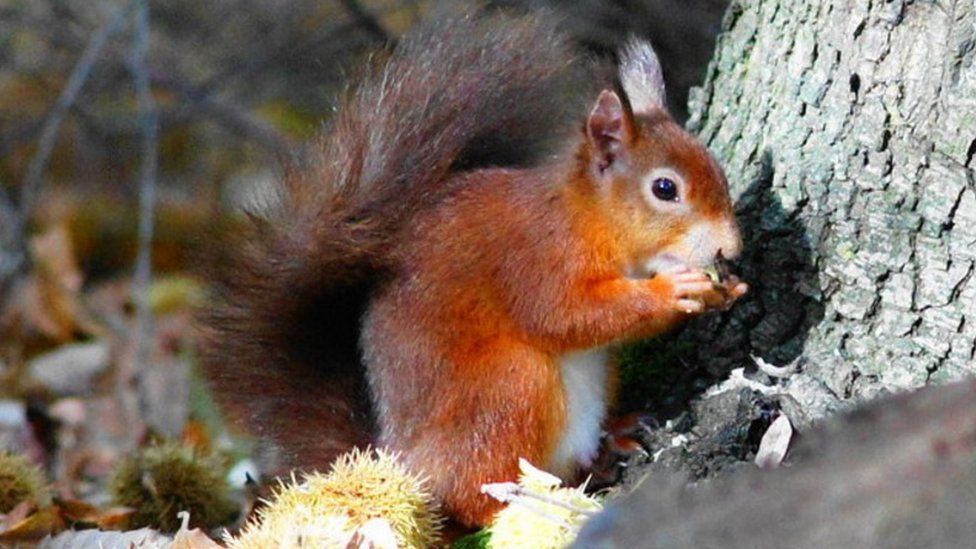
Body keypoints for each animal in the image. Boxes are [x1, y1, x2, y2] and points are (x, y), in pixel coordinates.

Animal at [200, 7, 748, 528]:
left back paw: (615, 436)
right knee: (473, 494)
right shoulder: (535, 258)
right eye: (665, 189)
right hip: (508, 388)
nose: (732, 248)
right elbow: (566, 315)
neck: (590, 219)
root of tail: (401, 463)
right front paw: (674, 292)